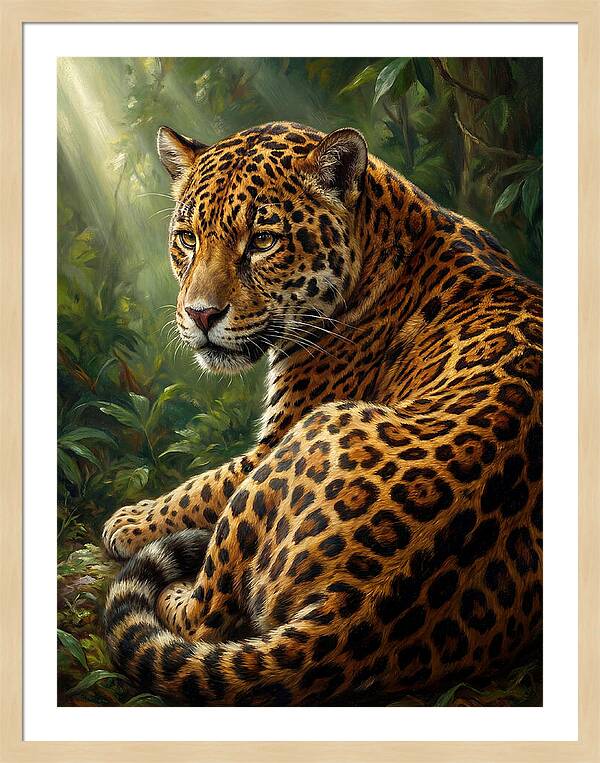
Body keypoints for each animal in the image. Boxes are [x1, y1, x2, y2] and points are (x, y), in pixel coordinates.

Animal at [102, 121, 542, 706]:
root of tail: (353, 610)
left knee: (206, 617)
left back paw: (175, 587)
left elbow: (202, 486)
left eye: (262, 241)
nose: (200, 314)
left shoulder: (278, 435)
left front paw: (130, 521)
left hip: (305, 438)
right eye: (188, 238)